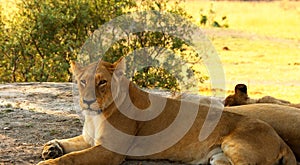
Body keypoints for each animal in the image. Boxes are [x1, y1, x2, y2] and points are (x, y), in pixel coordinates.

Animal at [37, 57, 296, 164]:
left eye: (102, 82)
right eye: (82, 81)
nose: (88, 101)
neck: (95, 115)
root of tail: (280, 140)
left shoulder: (111, 151)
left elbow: (72, 158)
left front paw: (49, 162)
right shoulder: (90, 139)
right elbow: (71, 144)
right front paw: (53, 147)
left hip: (236, 146)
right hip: (219, 158)